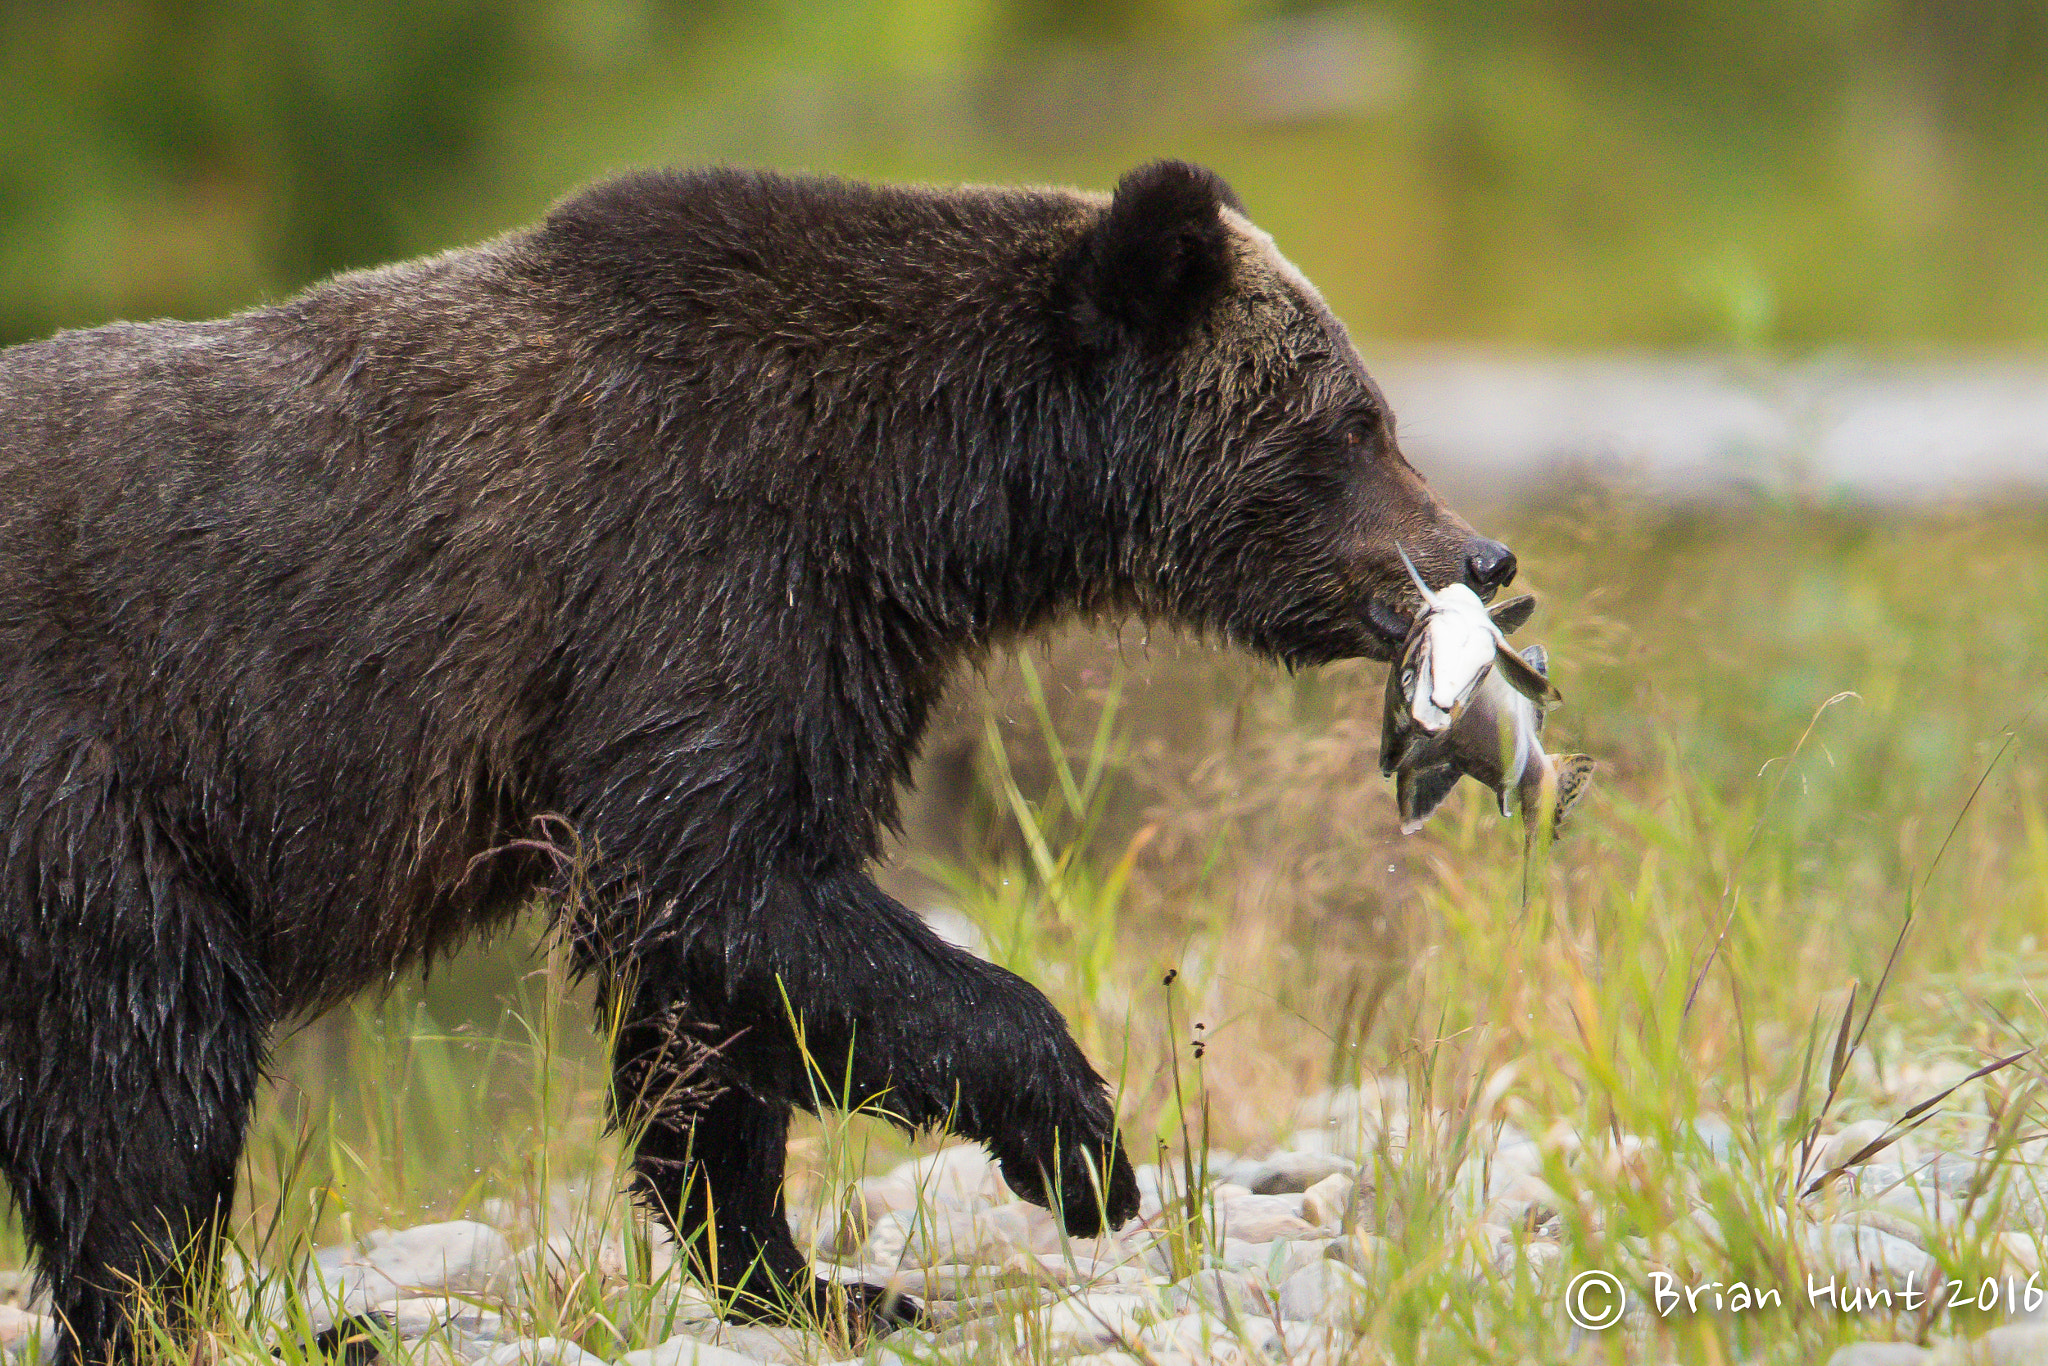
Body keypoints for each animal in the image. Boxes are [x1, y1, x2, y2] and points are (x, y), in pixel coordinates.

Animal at [0, 157, 1507, 1359]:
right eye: (1352, 423)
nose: (1481, 554)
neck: (905, 499)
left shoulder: (824, 653)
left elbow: (716, 995)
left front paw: (816, 1277)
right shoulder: (692, 585)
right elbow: (722, 888)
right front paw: (1080, 1144)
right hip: (92, 793)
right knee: (148, 1064)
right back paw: (247, 1321)